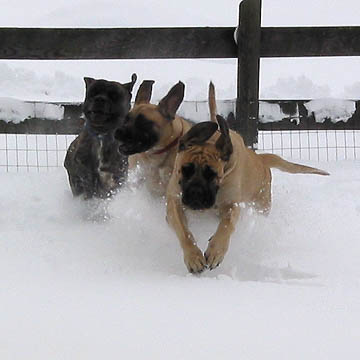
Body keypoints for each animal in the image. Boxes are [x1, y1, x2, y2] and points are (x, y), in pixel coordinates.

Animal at [166, 82, 330, 272]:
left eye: (212, 174)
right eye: (185, 170)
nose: (195, 194)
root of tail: (261, 159)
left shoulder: (232, 204)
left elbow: (227, 225)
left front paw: (216, 251)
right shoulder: (174, 201)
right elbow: (183, 231)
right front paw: (193, 257)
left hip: (262, 205)